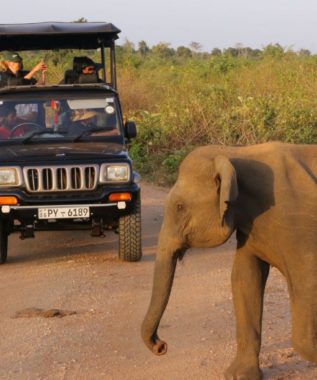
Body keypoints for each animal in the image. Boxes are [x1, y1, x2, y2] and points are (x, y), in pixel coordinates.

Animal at [141, 142, 316, 380]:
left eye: (179, 207)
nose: (161, 346)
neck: (234, 153)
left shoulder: (299, 226)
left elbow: (306, 283)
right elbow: (244, 278)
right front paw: (239, 375)